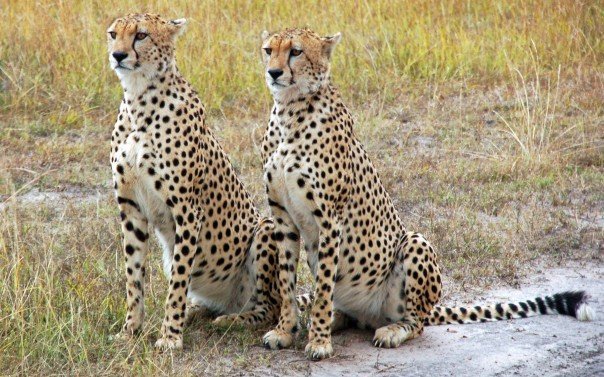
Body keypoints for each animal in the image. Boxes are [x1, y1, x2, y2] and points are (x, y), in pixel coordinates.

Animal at [107, 13, 290, 350]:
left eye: (141, 35)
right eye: (114, 34)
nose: (118, 55)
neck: (139, 98)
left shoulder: (187, 211)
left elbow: (179, 279)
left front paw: (169, 337)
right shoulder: (130, 208)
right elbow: (133, 276)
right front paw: (130, 331)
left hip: (266, 229)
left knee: (269, 306)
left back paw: (233, 320)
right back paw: (196, 311)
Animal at [258, 27, 596, 360]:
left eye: (296, 51)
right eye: (268, 50)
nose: (273, 72)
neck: (290, 110)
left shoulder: (330, 219)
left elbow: (324, 287)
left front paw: (318, 342)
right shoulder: (283, 217)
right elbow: (287, 282)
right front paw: (285, 331)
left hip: (415, 243)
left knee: (416, 322)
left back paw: (389, 330)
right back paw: (335, 319)